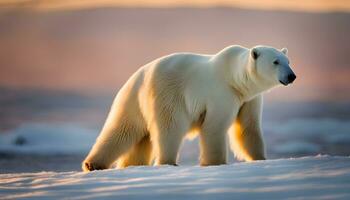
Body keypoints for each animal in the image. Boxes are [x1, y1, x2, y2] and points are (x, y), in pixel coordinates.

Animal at [81, 45, 296, 172]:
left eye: (288, 61)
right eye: (275, 62)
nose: (292, 76)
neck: (235, 78)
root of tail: (137, 77)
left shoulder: (249, 99)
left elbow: (248, 128)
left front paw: (261, 159)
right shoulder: (221, 93)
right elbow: (214, 127)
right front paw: (215, 163)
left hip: (131, 100)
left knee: (126, 130)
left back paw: (115, 164)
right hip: (167, 94)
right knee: (168, 128)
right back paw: (167, 161)